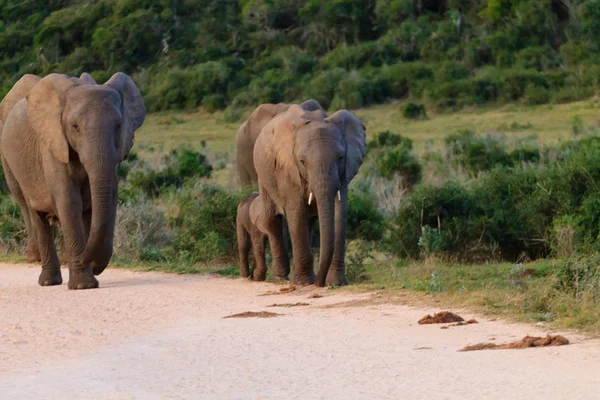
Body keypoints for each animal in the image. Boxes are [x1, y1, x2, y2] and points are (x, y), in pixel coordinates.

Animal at [0, 72, 145, 290]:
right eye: (74, 127)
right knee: (35, 212)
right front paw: (83, 285)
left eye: (119, 127)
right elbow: (69, 201)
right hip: (14, 165)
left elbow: (99, 202)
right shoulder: (52, 144)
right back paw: (48, 280)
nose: (90, 260)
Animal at [248, 105, 366, 288]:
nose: (320, 283)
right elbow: (296, 212)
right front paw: (303, 282)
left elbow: (341, 212)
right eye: (302, 161)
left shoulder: (344, 172)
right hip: (263, 175)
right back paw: (281, 277)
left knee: (309, 223)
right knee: (272, 220)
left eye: (340, 157)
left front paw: (336, 283)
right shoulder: (287, 167)